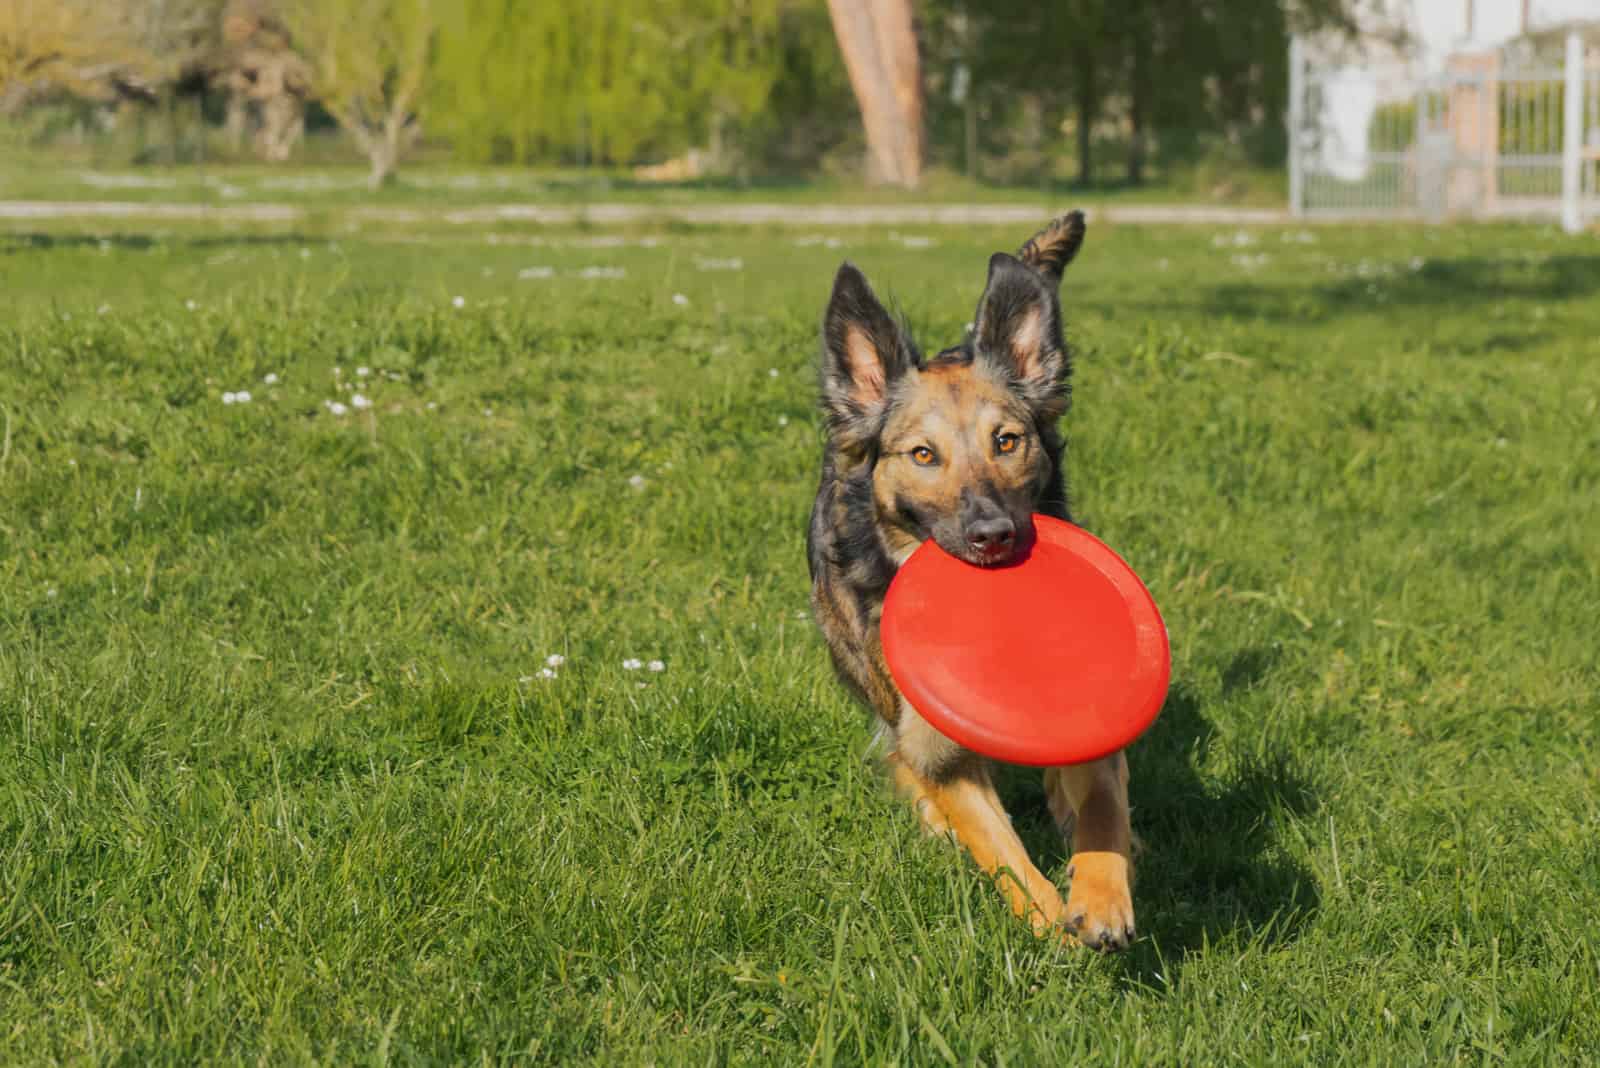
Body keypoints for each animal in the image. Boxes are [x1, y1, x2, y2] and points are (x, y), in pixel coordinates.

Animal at [806, 212, 1132, 946]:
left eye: (1006, 441)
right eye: (924, 455)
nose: (993, 535)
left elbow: (1101, 796)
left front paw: (1101, 898)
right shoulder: (939, 749)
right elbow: (1000, 846)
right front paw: (1049, 923)